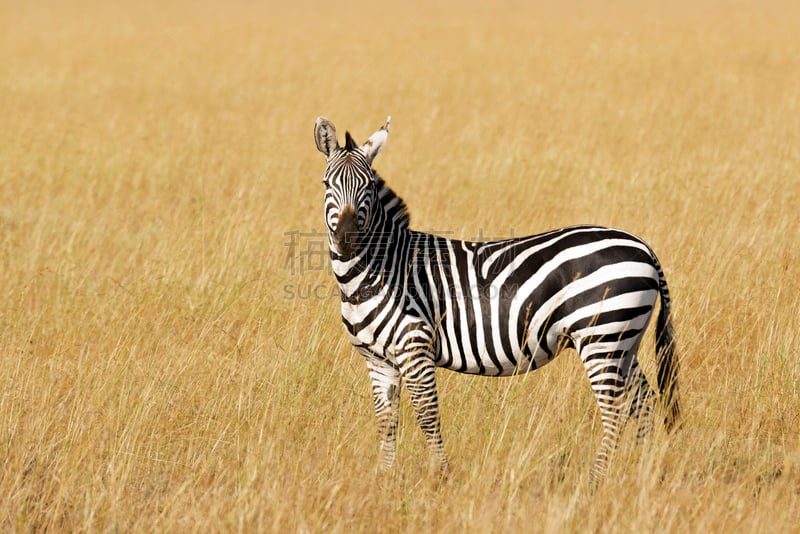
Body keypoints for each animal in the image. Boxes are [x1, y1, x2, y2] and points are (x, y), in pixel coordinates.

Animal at [312, 115, 680, 488]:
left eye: (369, 187)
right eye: (327, 183)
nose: (347, 239)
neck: (379, 269)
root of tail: (643, 246)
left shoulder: (415, 349)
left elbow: (428, 416)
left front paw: (441, 478)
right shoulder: (377, 360)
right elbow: (387, 422)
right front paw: (385, 481)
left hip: (602, 338)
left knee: (614, 411)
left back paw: (595, 482)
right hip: (623, 341)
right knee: (644, 403)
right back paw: (644, 475)